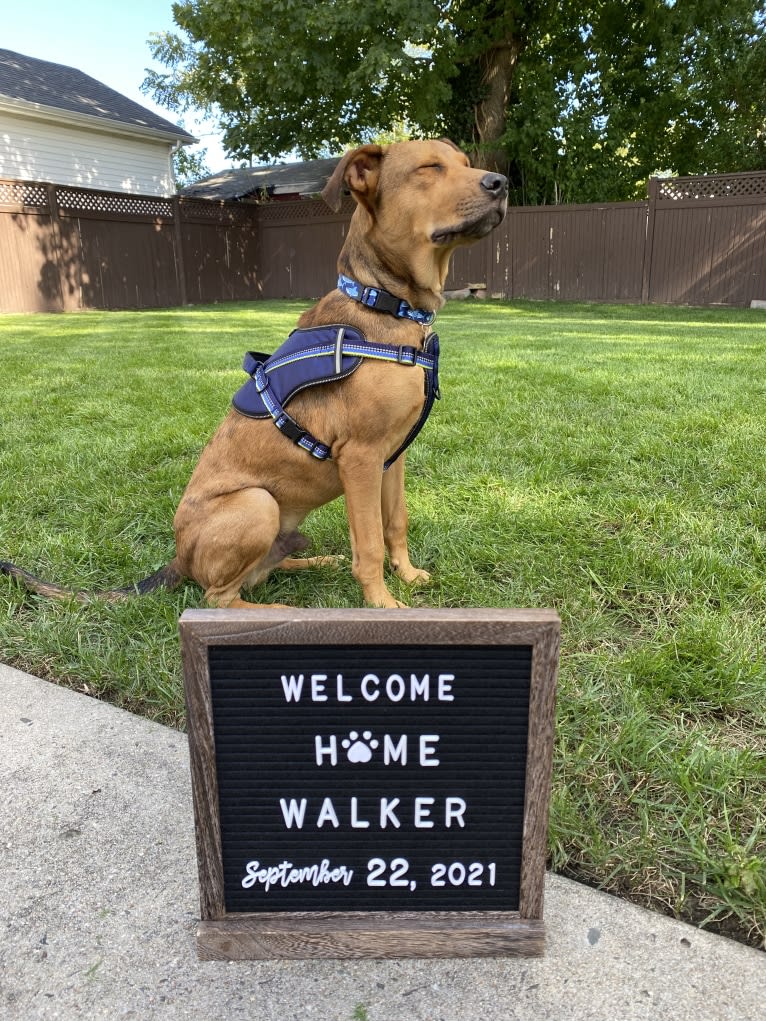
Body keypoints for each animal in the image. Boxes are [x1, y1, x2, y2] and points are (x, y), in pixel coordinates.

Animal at [1, 139, 510, 608]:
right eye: (429, 168)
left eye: (465, 164)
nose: (501, 183)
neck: (385, 305)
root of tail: (179, 558)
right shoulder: (362, 458)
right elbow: (367, 543)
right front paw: (382, 604)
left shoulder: (393, 457)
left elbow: (394, 523)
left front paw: (407, 575)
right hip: (257, 502)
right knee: (218, 598)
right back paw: (284, 611)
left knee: (264, 570)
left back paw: (317, 562)